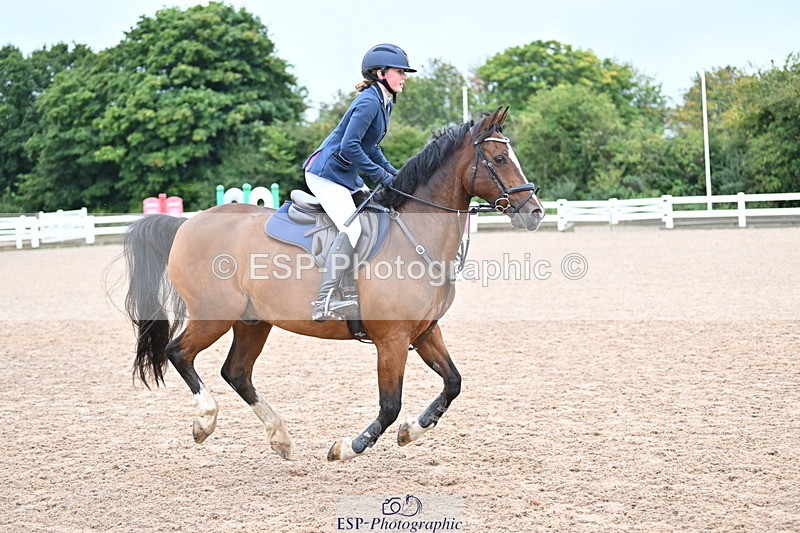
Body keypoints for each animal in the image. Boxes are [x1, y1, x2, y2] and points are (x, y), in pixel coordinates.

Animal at [122, 107, 544, 461]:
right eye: (500, 159)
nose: (535, 212)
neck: (416, 236)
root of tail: (186, 224)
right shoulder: (392, 340)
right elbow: (390, 405)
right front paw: (348, 448)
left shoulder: (424, 331)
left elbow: (453, 383)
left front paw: (412, 431)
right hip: (214, 315)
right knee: (179, 353)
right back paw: (206, 421)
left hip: (252, 321)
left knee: (237, 372)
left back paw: (280, 437)